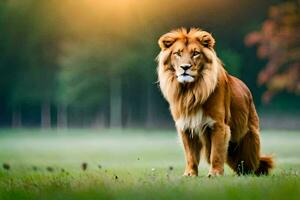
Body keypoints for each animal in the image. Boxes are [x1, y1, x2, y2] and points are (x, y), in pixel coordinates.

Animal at [157, 27, 274, 177]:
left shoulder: (218, 125)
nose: (185, 67)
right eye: (178, 53)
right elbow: (190, 155)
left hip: (249, 137)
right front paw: (190, 174)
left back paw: (247, 173)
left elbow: (216, 153)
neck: (191, 90)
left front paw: (215, 174)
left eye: (195, 53)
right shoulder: (185, 126)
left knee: (251, 163)